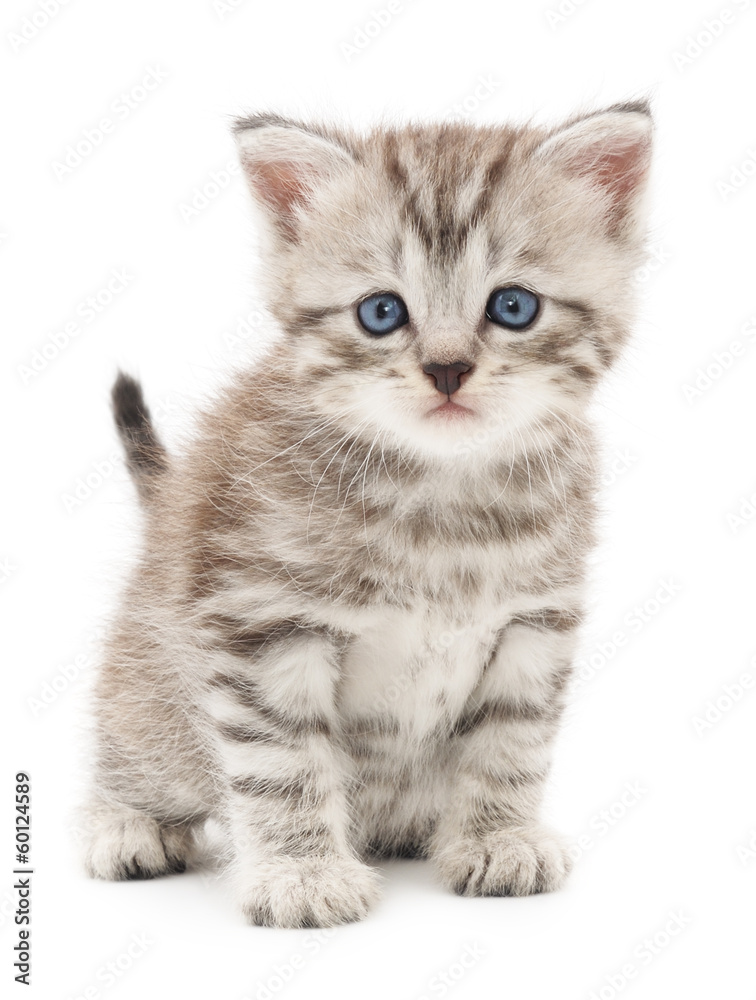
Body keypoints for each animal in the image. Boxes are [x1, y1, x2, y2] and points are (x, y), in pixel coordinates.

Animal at [81, 105, 648, 924]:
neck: (442, 497)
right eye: (382, 313)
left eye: (513, 306)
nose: (447, 369)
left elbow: (511, 743)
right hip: (149, 690)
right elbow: (282, 758)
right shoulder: (261, 622)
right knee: (139, 741)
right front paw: (302, 873)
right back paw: (127, 820)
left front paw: (498, 836)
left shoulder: (534, 623)